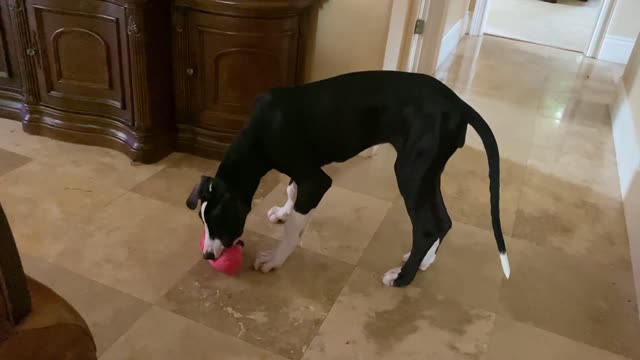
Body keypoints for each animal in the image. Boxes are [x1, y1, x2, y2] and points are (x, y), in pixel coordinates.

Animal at [185, 70, 510, 286]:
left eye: (220, 222)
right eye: (203, 222)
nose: (208, 256)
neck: (260, 134)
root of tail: (457, 103)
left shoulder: (316, 180)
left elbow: (293, 228)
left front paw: (275, 259)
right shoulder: (304, 170)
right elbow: (291, 191)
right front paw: (283, 211)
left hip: (410, 172)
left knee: (427, 227)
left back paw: (402, 279)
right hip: (428, 173)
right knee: (443, 220)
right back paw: (425, 262)